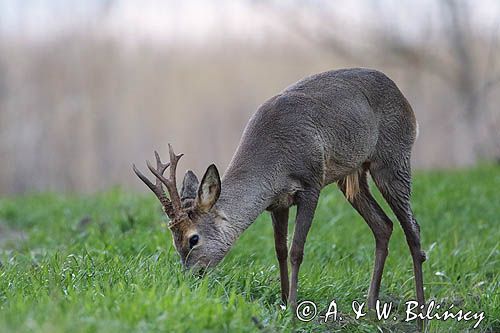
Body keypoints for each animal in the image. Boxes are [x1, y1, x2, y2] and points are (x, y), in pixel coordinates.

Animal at [133, 67, 426, 314]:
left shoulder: (311, 183)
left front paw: (295, 308)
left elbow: (296, 250)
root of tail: (404, 98)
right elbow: (280, 250)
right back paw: (370, 310)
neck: (275, 162)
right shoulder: (277, 202)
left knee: (412, 228)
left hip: (393, 158)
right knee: (384, 225)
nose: (192, 277)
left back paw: (421, 312)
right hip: (352, 176)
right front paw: (284, 302)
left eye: (193, 238)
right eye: (174, 242)